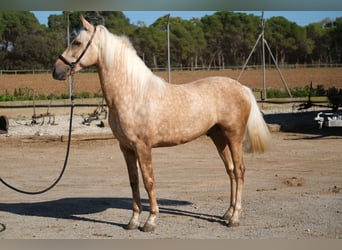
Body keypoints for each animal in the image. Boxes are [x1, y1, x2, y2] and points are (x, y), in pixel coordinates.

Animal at [52, 17, 272, 232]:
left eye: (77, 42)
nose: (56, 70)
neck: (132, 93)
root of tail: (242, 87)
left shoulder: (143, 147)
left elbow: (148, 181)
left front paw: (150, 221)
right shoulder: (126, 148)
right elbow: (134, 182)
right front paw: (133, 221)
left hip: (234, 136)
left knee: (240, 171)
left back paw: (234, 218)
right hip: (219, 137)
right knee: (231, 171)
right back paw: (227, 213)